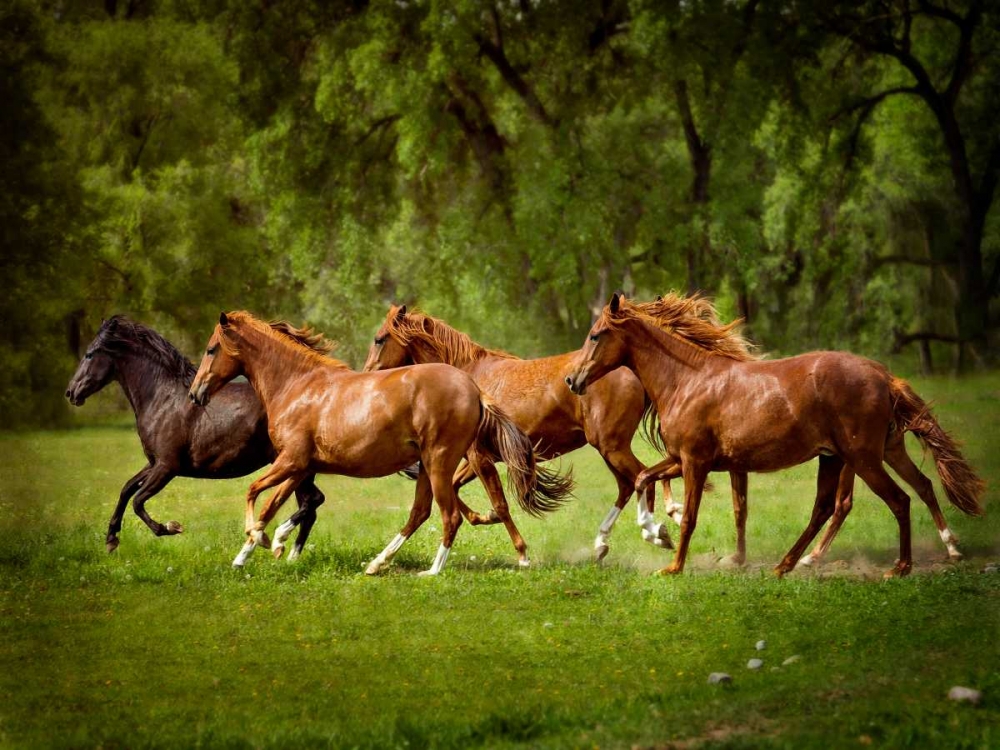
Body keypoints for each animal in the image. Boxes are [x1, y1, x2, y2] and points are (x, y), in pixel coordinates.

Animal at [64, 315, 325, 557]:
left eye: (89, 354)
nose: (70, 392)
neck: (162, 398)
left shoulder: (167, 467)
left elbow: (138, 500)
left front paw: (170, 527)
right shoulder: (155, 463)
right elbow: (126, 489)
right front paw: (111, 539)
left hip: (294, 467)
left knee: (313, 501)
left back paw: (273, 541)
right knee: (311, 508)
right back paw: (290, 555)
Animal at [189, 311, 572, 575]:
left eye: (211, 349)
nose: (195, 394)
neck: (297, 385)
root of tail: (474, 390)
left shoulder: (291, 461)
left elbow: (253, 492)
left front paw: (262, 540)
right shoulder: (299, 466)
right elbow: (273, 505)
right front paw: (256, 550)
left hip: (439, 462)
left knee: (449, 516)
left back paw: (433, 571)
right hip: (429, 467)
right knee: (420, 513)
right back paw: (377, 563)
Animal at [363, 304, 677, 563]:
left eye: (379, 339)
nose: (366, 375)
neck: (468, 376)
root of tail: (631, 371)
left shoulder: (479, 457)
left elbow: (498, 502)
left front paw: (521, 551)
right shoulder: (479, 457)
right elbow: (456, 487)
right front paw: (483, 517)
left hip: (612, 446)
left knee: (642, 477)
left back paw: (657, 530)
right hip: (608, 448)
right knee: (628, 484)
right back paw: (603, 543)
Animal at [565, 292, 985, 577]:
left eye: (595, 335)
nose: (572, 380)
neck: (686, 380)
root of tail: (884, 376)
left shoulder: (695, 462)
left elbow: (690, 517)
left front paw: (672, 564)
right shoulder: (683, 459)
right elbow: (643, 478)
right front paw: (653, 533)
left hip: (863, 458)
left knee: (897, 500)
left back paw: (899, 567)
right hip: (855, 455)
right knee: (846, 503)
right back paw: (788, 564)